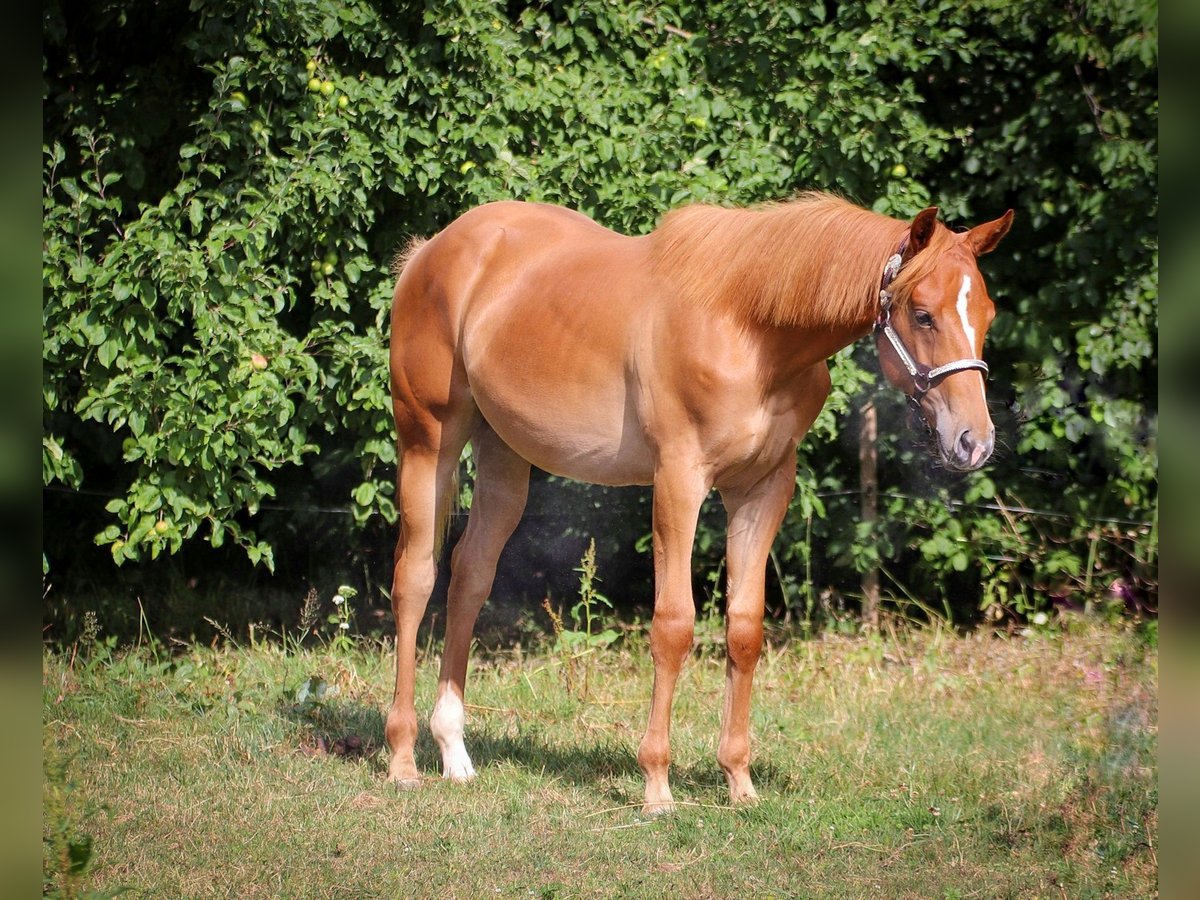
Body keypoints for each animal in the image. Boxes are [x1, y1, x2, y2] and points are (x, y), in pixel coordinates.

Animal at [384, 191, 1013, 814]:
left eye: (986, 314)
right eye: (923, 313)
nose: (974, 441)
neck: (750, 332)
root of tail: (430, 252)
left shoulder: (763, 489)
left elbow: (745, 628)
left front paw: (739, 781)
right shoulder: (679, 481)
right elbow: (674, 625)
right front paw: (657, 786)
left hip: (504, 456)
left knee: (469, 576)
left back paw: (454, 754)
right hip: (429, 442)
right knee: (415, 578)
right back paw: (403, 760)